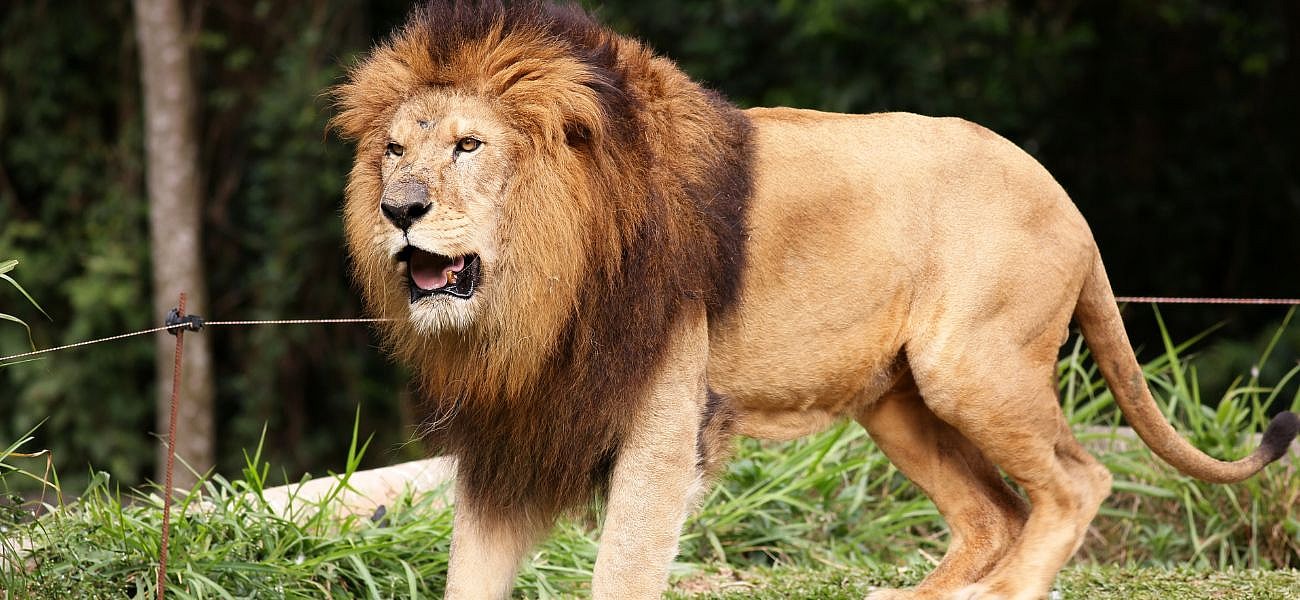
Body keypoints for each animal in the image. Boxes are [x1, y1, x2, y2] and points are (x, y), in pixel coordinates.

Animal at [330, 2, 1300, 599]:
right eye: (393, 150)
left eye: (468, 146)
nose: (399, 210)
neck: (535, 292)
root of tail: (1067, 200)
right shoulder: (513, 428)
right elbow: (470, 571)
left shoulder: (664, 420)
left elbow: (624, 566)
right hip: (899, 402)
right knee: (995, 513)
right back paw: (915, 595)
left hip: (970, 365)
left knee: (1076, 482)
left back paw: (1013, 589)